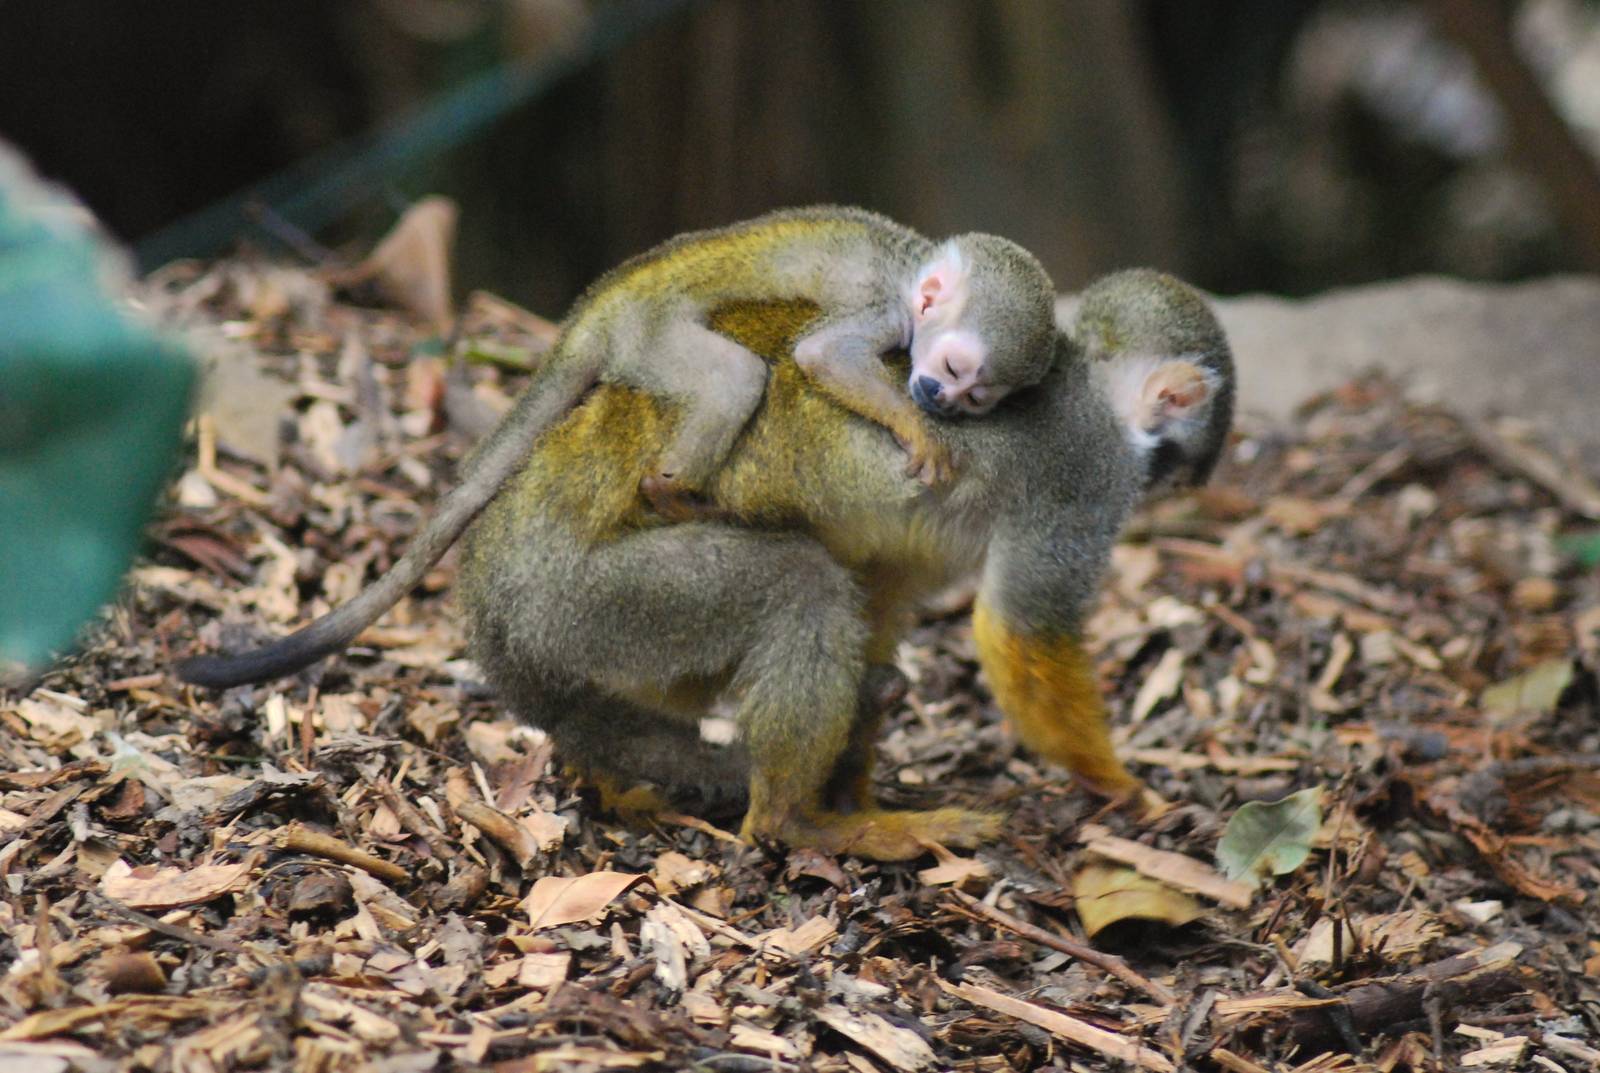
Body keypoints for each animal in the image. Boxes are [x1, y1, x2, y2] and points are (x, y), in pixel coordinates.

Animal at [179, 269, 1233, 862]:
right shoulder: (1088, 480)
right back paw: (800, 825)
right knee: (799, 588)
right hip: (592, 601)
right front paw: (1124, 789)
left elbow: (887, 582)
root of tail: (486, 595)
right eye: (1176, 461)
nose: (1174, 480)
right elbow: (1021, 629)